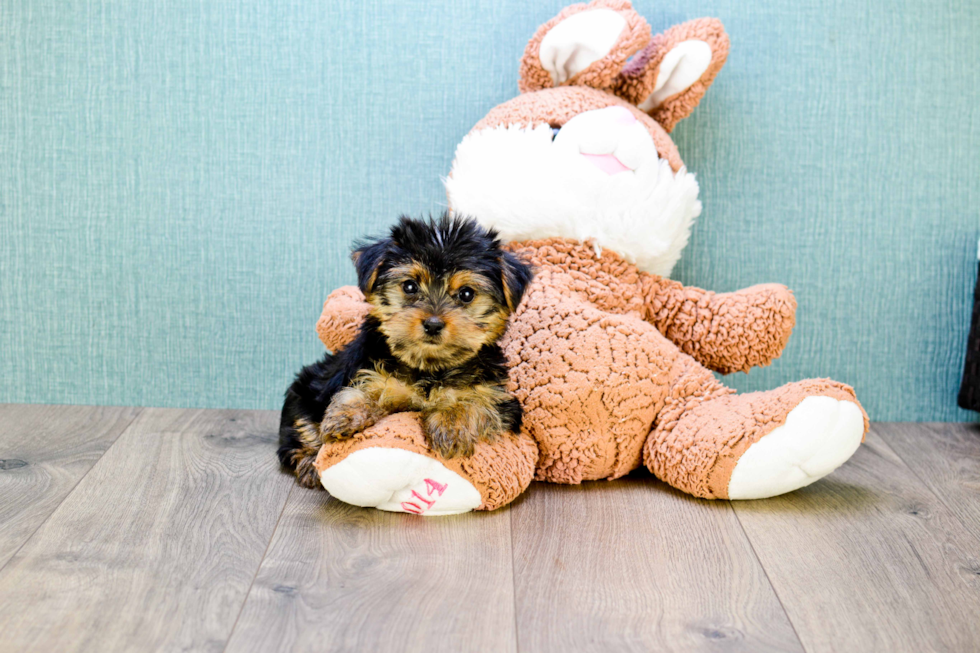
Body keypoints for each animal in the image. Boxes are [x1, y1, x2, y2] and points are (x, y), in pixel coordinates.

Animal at [276, 214, 536, 488]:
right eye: (410, 287)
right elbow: (363, 390)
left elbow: (477, 402)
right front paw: (345, 415)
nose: (433, 324)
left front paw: (450, 425)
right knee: (301, 427)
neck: (430, 366)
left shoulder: (500, 401)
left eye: (466, 294)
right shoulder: (368, 371)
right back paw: (310, 462)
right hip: (305, 388)